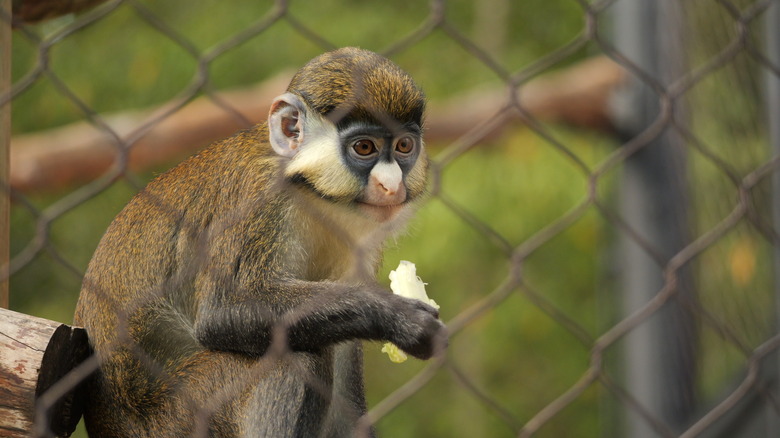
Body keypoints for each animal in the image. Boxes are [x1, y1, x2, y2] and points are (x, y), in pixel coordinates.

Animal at [75, 46, 448, 436]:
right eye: (364, 147)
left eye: (404, 146)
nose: (392, 185)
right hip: (180, 418)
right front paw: (397, 315)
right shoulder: (257, 197)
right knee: (297, 352)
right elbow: (224, 313)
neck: (312, 194)